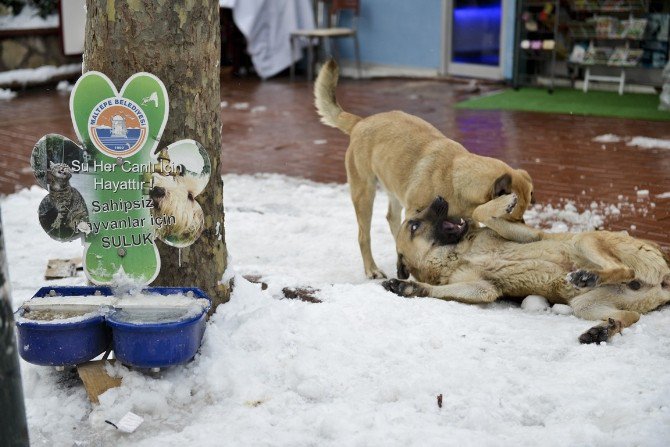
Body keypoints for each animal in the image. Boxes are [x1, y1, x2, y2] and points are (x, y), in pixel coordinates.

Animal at [316, 57, 536, 278]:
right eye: (513, 217)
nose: (525, 233)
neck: (454, 178)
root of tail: (360, 123)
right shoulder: (417, 214)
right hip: (364, 193)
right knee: (363, 235)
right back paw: (372, 269)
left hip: (393, 187)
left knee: (391, 218)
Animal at [384, 194, 670, 344]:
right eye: (414, 225)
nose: (440, 197)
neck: (457, 253)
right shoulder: (482, 288)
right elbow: (438, 289)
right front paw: (408, 286)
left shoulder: (529, 236)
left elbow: (479, 212)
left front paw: (503, 202)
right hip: (587, 304)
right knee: (631, 314)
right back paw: (602, 328)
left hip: (583, 240)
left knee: (623, 269)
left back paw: (588, 276)